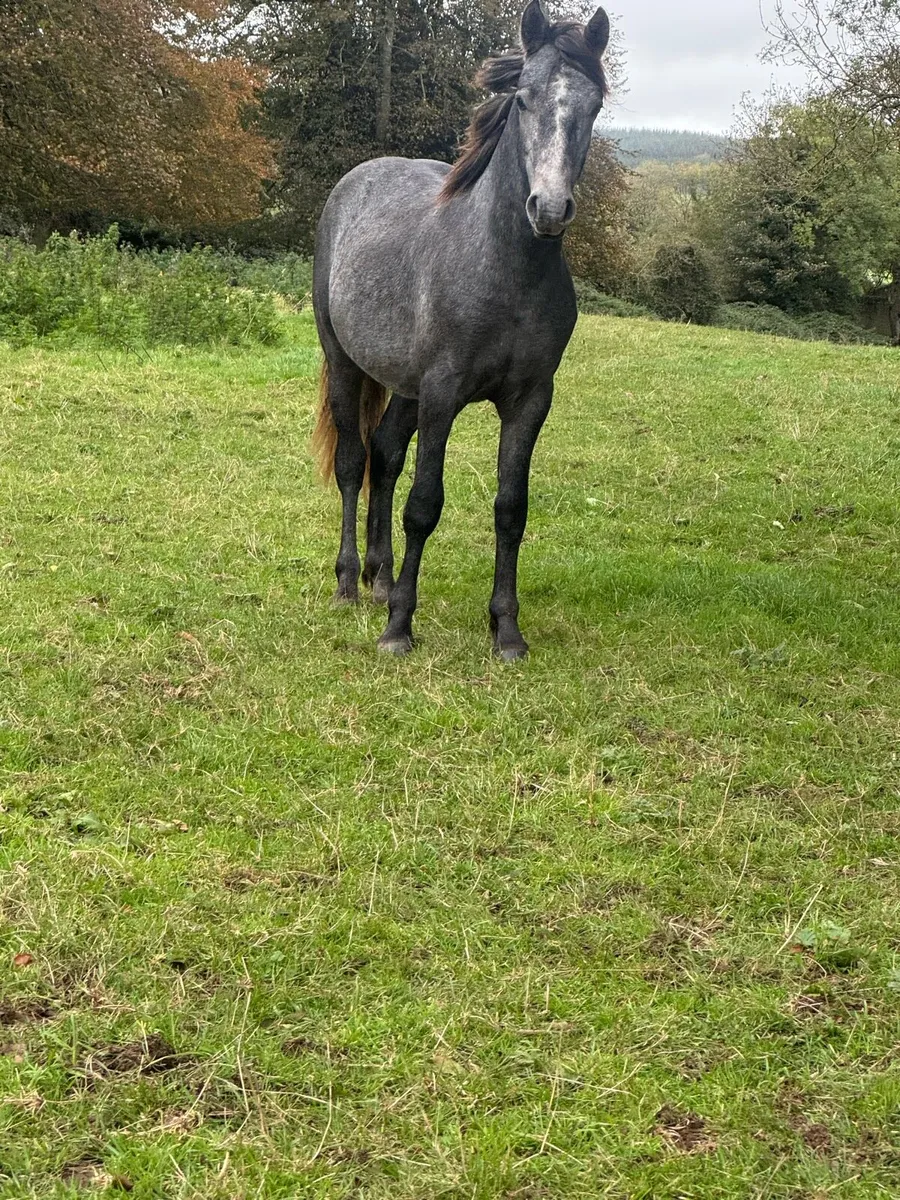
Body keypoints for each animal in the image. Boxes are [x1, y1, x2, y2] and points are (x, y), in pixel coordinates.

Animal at [312, 0, 611, 660]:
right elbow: (424, 505)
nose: (549, 209)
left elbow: (510, 509)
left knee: (384, 458)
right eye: (522, 98)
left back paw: (378, 577)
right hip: (346, 362)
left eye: (594, 105)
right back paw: (349, 583)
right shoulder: (444, 394)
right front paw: (399, 626)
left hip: (406, 388)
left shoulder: (529, 401)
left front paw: (507, 630)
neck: (505, 270)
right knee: (352, 462)